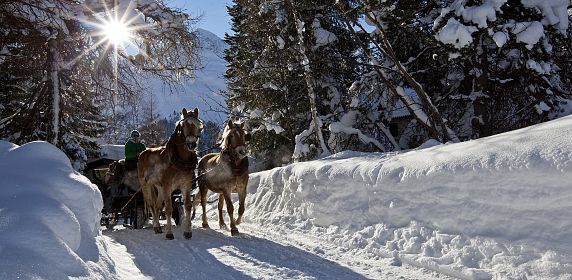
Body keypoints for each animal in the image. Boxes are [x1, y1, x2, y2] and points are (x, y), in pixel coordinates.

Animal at [137, 108, 202, 240]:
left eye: (198, 125)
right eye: (184, 125)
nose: (191, 144)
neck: (178, 161)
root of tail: (143, 153)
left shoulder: (186, 185)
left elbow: (188, 206)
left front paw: (187, 232)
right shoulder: (167, 186)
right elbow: (168, 208)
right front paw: (169, 233)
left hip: (159, 187)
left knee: (157, 206)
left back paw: (158, 227)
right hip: (146, 185)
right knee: (151, 205)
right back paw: (156, 227)